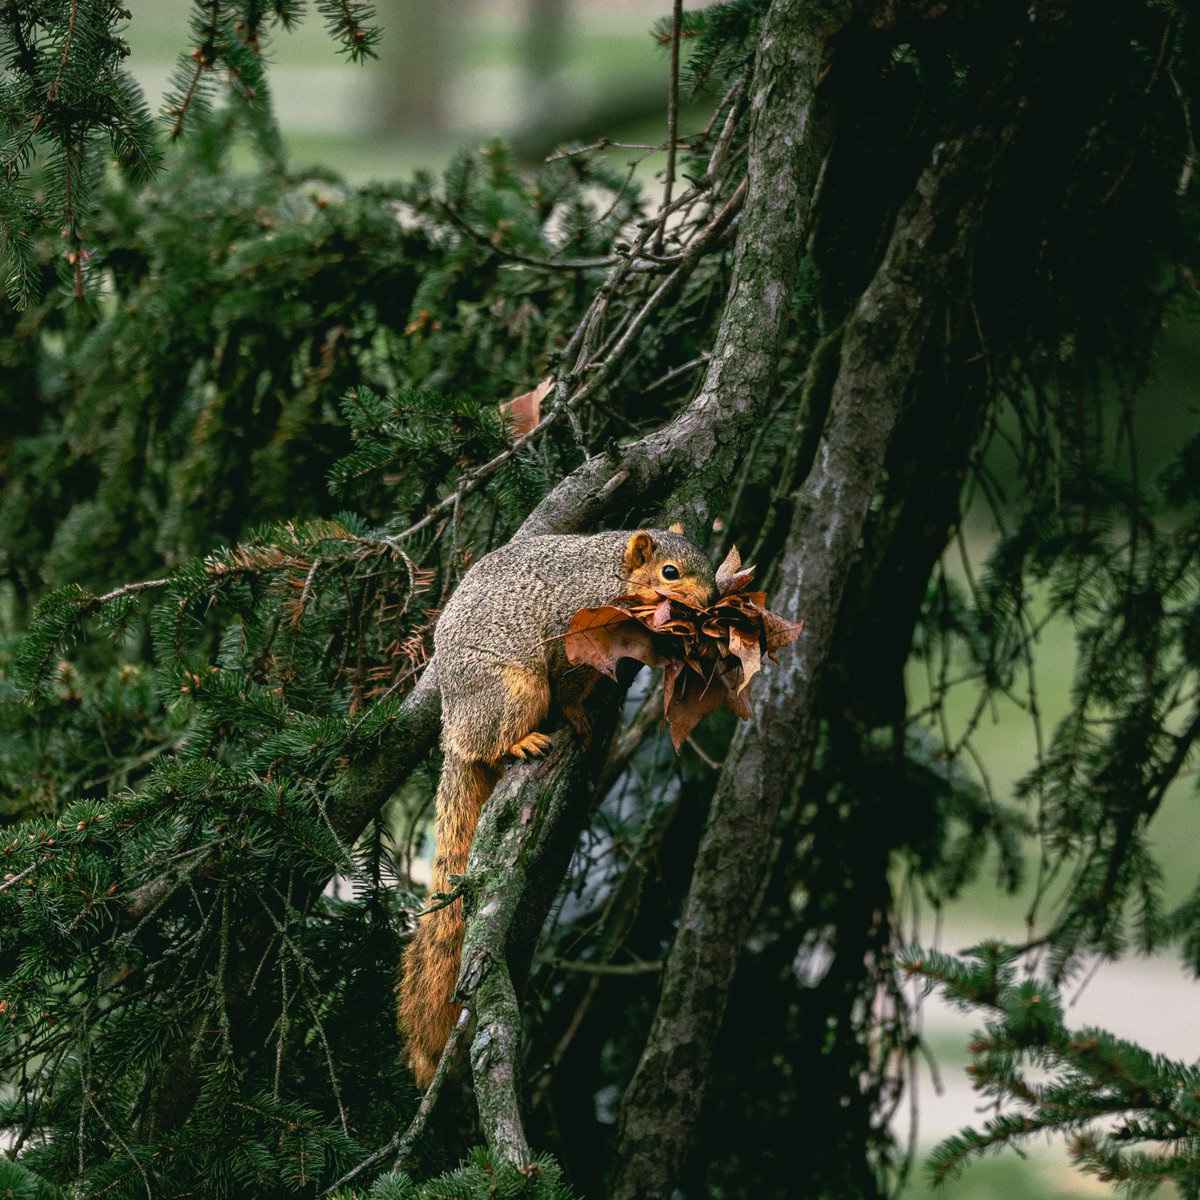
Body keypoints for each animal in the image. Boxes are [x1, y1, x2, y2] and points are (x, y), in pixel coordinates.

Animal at [397, 527, 716, 1088]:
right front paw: (576, 713)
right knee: (492, 743)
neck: (610, 570)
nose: (712, 600)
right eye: (670, 573)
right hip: (514, 689)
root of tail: (452, 731)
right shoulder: (572, 628)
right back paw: (519, 743)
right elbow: (569, 681)